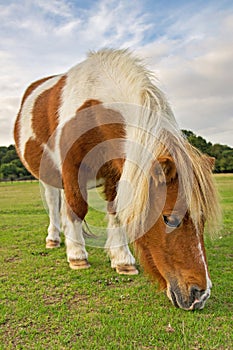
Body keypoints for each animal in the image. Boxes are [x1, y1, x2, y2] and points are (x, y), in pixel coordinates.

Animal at [13, 48, 219, 308]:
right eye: (169, 219)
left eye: (203, 220)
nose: (201, 294)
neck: (93, 104)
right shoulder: (72, 169)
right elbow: (77, 208)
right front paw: (77, 257)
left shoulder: (115, 173)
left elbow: (117, 211)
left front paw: (122, 260)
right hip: (48, 174)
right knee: (53, 203)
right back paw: (54, 238)